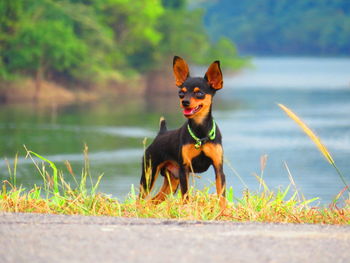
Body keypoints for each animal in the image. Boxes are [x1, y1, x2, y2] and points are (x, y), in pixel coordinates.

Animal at [138, 55, 226, 204]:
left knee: (153, 200)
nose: (184, 102)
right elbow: (186, 197)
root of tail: (161, 133)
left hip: (172, 181)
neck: (200, 132)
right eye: (181, 93)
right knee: (140, 199)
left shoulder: (218, 168)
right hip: (149, 175)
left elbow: (222, 197)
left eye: (199, 93)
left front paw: (223, 210)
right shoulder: (184, 170)